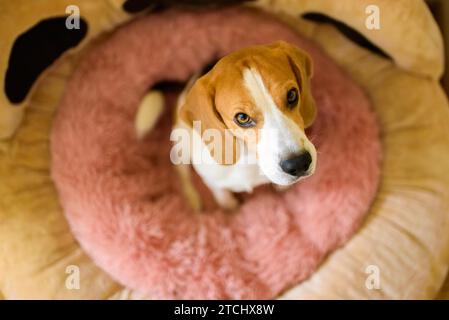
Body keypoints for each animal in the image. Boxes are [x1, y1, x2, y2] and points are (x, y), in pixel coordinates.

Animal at [138, 40, 316, 210]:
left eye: (292, 95)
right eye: (242, 118)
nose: (299, 163)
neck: (249, 158)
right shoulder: (211, 180)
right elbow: (220, 193)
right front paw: (229, 207)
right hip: (182, 144)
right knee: (182, 172)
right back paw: (192, 199)